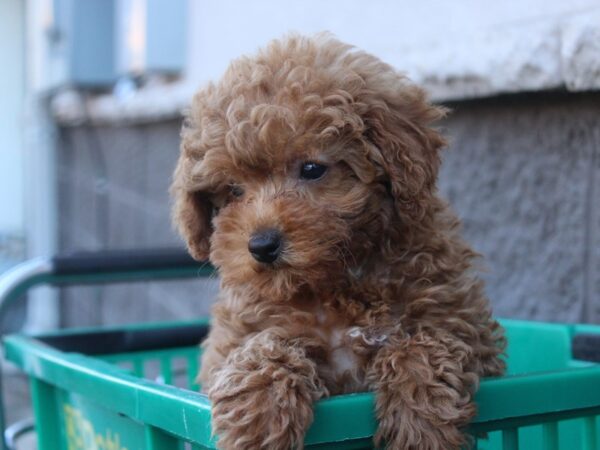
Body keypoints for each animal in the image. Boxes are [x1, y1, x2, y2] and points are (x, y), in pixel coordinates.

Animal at [170, 33, 506, 448]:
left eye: (313, 169)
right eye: (232, 190)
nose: (262, 246)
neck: (338, 279)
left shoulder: (465, 325)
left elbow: (424, 342)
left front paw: (420, 424)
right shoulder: (232, 342)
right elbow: (268, 345)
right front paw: (259, 419)